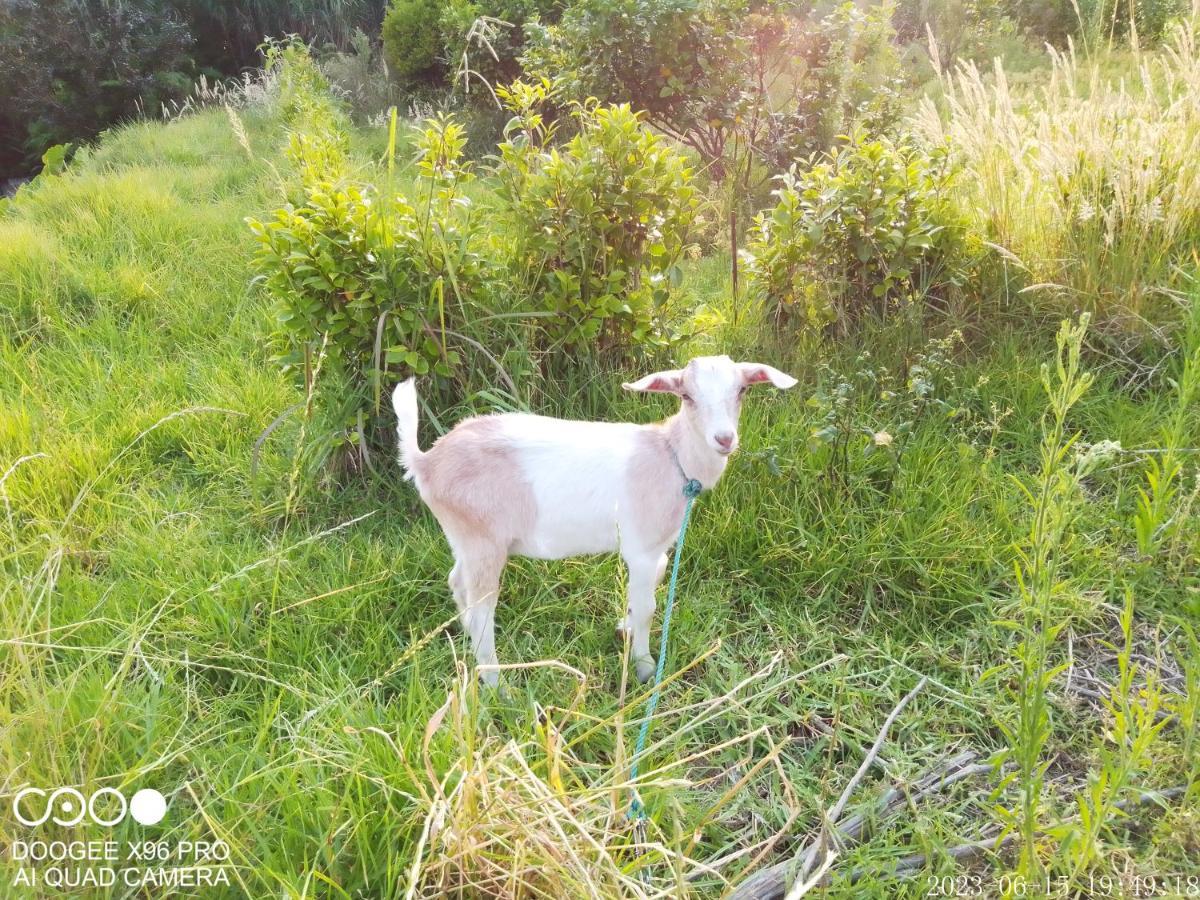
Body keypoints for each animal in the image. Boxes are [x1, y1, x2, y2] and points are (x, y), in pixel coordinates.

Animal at [393, 355, 796, 686]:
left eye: (742, 389)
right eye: (687, 395)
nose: (724, 439)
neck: (673, 455)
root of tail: (426, 462)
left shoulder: (657, 550)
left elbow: (648, 591)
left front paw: (624, 627)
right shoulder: (641, 548)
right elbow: (649, 608)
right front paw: (645, 668)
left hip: (464, 539)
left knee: (457, 583)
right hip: (482, 540)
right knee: (481, 610)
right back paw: (497, 685)